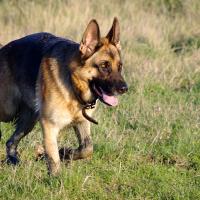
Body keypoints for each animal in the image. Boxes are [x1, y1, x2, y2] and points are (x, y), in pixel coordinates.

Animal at [0, 18, 127, 175]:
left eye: (120, 67)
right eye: (104, 66)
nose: (125, 88)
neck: (72, 83)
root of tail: (3, 49)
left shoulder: (82, 122)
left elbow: (87, 148)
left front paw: (65, 153)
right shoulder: (49, 126)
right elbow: (53, 158)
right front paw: (55, 177)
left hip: (29, 120)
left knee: (11, 142)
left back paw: (13, 159)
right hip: (8, 109)